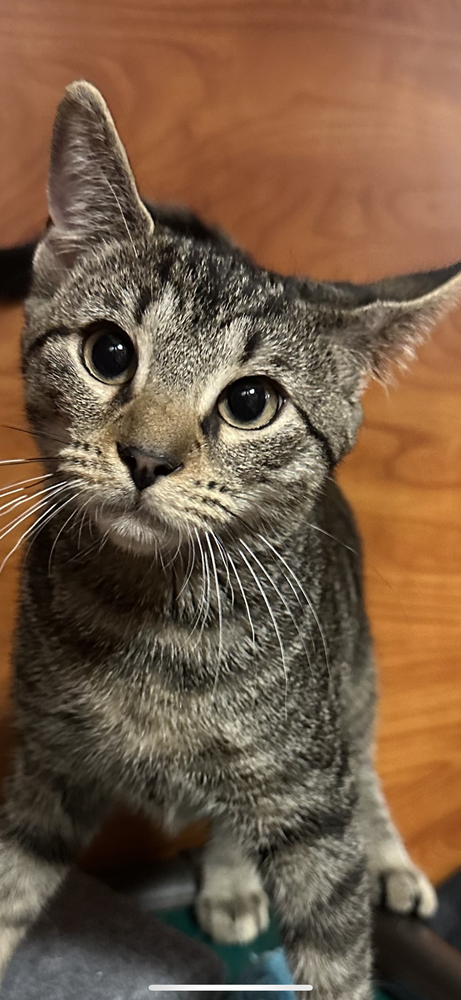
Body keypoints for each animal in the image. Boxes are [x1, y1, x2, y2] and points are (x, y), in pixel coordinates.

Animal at [0, 80, 458, 1000]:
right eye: (108, 352)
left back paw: (372, 860)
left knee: (359, 760)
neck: (150, 621)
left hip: (351, 677)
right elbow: (7, 890)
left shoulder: (311, 802)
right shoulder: (46, 768)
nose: (147, 457)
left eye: (251, 403)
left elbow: (337, 954)